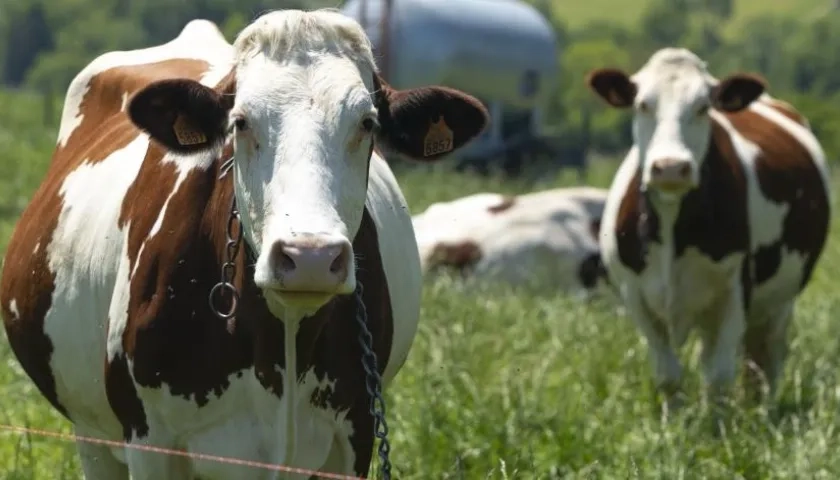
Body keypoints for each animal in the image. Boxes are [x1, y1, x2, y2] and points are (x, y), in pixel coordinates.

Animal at [588, 47, 832, 408]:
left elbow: (718, 379)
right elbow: (668, 376)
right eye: (642, 104)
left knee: (766, 359)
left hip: (779, 300)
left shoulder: (735, 290)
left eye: (703, 107)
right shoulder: (636, 295)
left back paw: (761, 410)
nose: (670, 167)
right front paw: (674, 421)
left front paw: (718, 423)